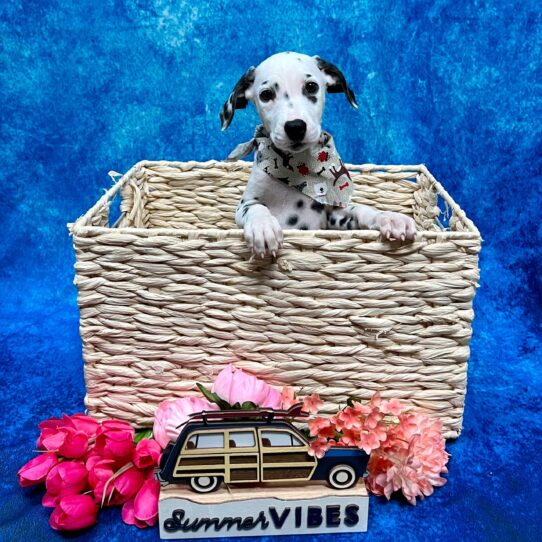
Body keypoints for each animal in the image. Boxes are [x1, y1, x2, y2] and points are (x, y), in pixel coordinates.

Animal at [219, 51, 418, 260]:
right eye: (266, 95)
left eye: (311, 86)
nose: (295, 127)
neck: (298, 171)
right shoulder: (246, 204)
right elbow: (256, 208)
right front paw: (263, 227)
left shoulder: (332, 216)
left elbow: (359, 209)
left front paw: (388, 217)